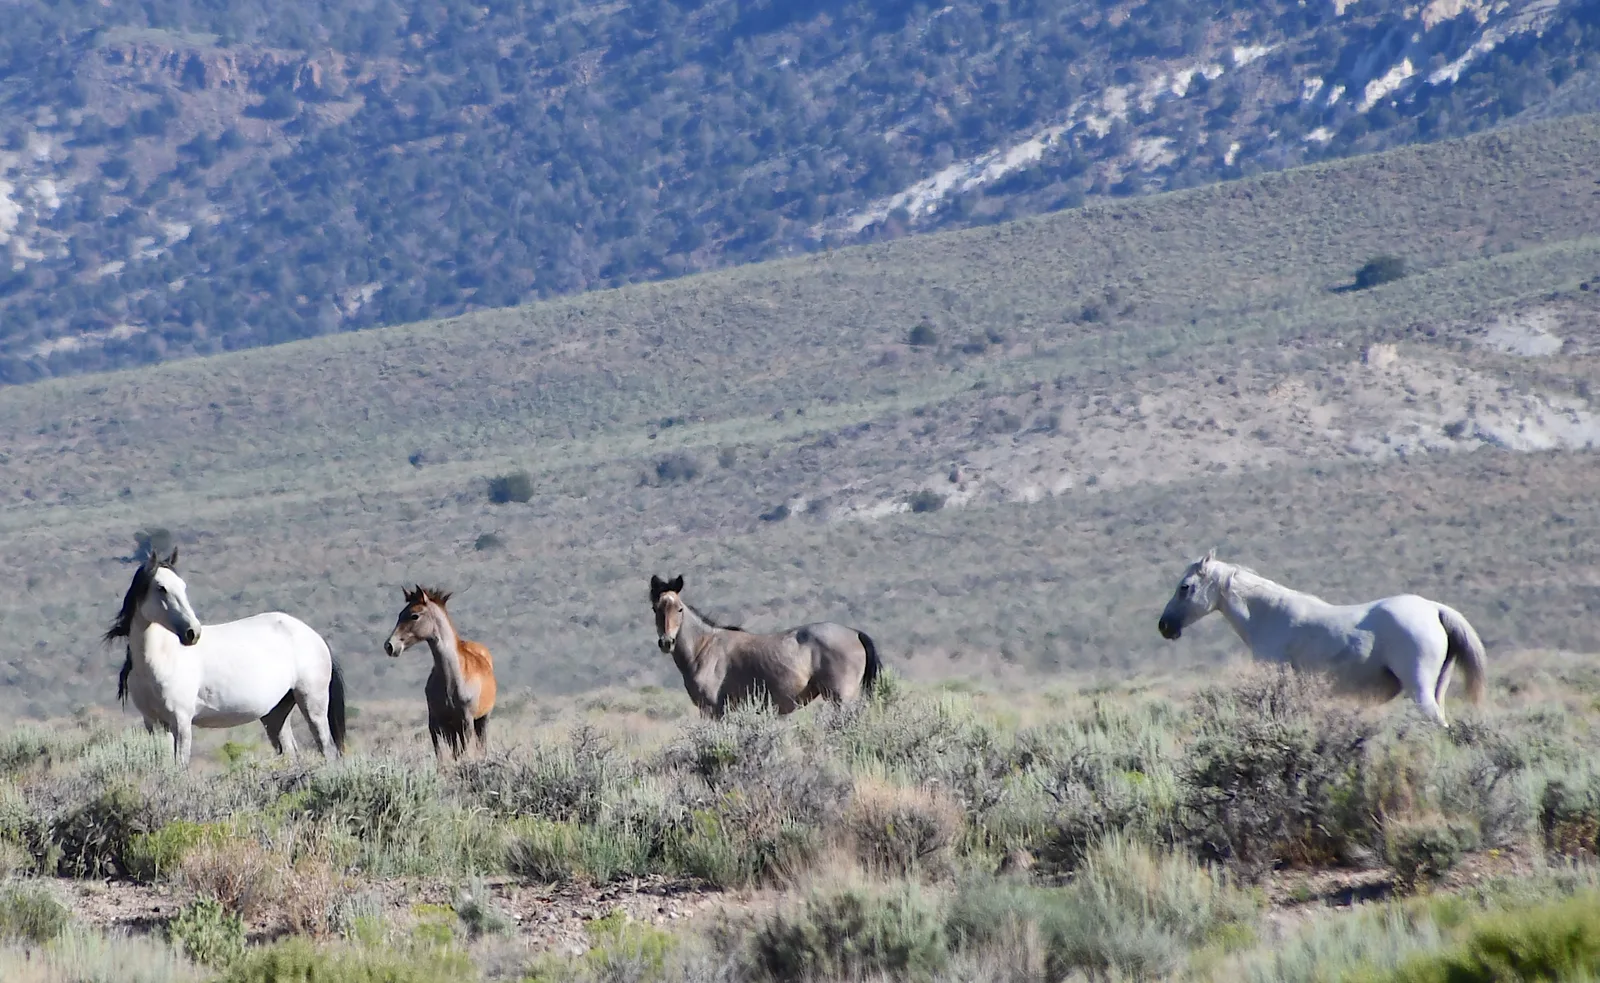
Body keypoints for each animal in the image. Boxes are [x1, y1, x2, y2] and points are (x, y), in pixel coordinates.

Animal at [107, 550, 347, 765]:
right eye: (161, 588)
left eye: (183, 586)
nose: (192, 633)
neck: (162, 659)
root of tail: (314, 637)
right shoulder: (154, 723)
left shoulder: (181, 722)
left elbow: (181, 765)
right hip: (275, 714)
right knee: (289, 753)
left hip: (312, 704)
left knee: (327, 749)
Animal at [383, 585, 496, 760]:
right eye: (400, 614)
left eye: (414, 615)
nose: (390, 646)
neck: (452, 680)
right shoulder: (440, 723)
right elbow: (444, 754)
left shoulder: (466, 721)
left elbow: (463, 752)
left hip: (483, 719)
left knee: (481, 745)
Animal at [648, 574, 881, 719]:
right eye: (655, 608)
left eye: (679, 609)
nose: (667, 642)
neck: (704, 648)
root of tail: (855, 633)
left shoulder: (714, 711)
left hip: (841, 699)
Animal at [1155, 550, 1487, 726]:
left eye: (1185, 587)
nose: (1165, 626)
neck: (1271, 616)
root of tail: (1434, 609)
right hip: (1436, 689)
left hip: (1419, 690)